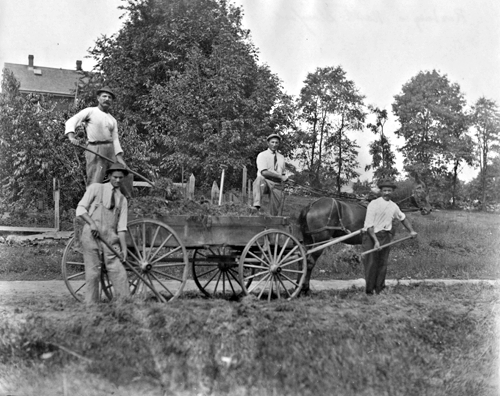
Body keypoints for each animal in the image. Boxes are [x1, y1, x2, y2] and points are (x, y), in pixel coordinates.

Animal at [294, 181, 432, 292]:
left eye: (427, 193)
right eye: (421, 194)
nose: (428, 209)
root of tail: (312, 204)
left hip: (308, 240)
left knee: (302, 260)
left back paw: (298, 287)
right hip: (320, 240)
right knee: (310, 262)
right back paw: (305, 289)